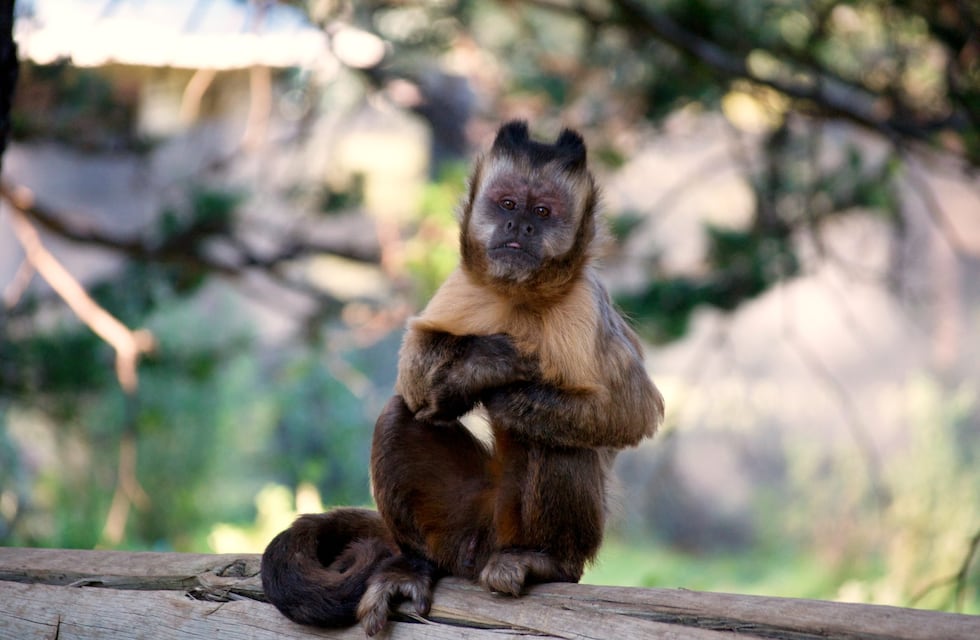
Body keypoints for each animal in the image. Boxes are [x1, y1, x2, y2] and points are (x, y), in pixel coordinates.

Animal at [261, 121, 664, 636]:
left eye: (543, 211)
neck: (522, 294)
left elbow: (632, 415)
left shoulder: (587, 305)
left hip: (521, 527)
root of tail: (483, 549)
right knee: (400, 411)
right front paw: (487, 364)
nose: (520, 227)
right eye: (507, 204)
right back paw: (416, 565)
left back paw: (543, 561)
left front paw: (506, 394)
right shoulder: (462, 284)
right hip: (461, 521)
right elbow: (414, 374)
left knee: (553, 436)